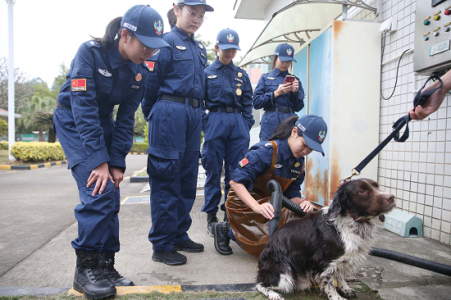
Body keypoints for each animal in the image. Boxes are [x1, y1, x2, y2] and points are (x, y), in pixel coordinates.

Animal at [258, 179, 396, 298]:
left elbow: (339, 275)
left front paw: (346, 289)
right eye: (362, 191)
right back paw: (274, 295)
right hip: (284, 276)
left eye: (377, 186)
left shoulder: (341, 260)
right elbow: (330, 284)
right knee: (260, 284)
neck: (350, 220)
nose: (392, 197)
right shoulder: (325, 262)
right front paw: (337, 298)